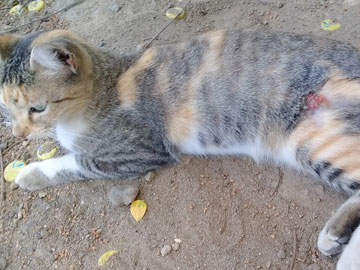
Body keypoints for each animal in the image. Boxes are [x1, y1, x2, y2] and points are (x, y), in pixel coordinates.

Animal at [0, 28, 360, 268]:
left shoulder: (138, 151)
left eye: (37, 108)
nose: (18, 132)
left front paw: (30, 173)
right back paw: (336, 236)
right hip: (312, 144)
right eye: (5, 106)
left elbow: (75, 161)